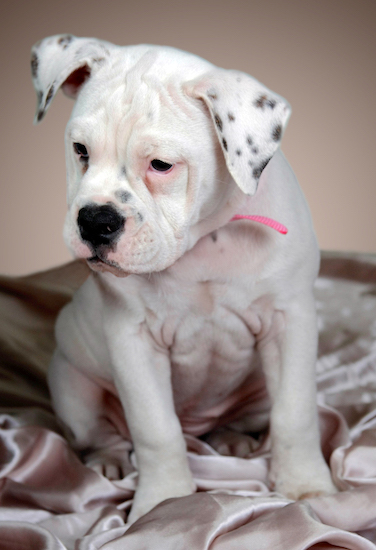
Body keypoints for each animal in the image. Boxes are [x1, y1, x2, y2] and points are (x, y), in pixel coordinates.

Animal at [30, 34, 336, 528]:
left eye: (161, 165)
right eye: (80, 151)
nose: (94, 220)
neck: (203, 239)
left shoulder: (290, 321)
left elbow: (296, 414)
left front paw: (308, 487)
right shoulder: (134, 339)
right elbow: (156, 429)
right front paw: (163, 503)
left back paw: (231, 440)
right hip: (71, 385)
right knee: (99, 432)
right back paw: (107, 461)